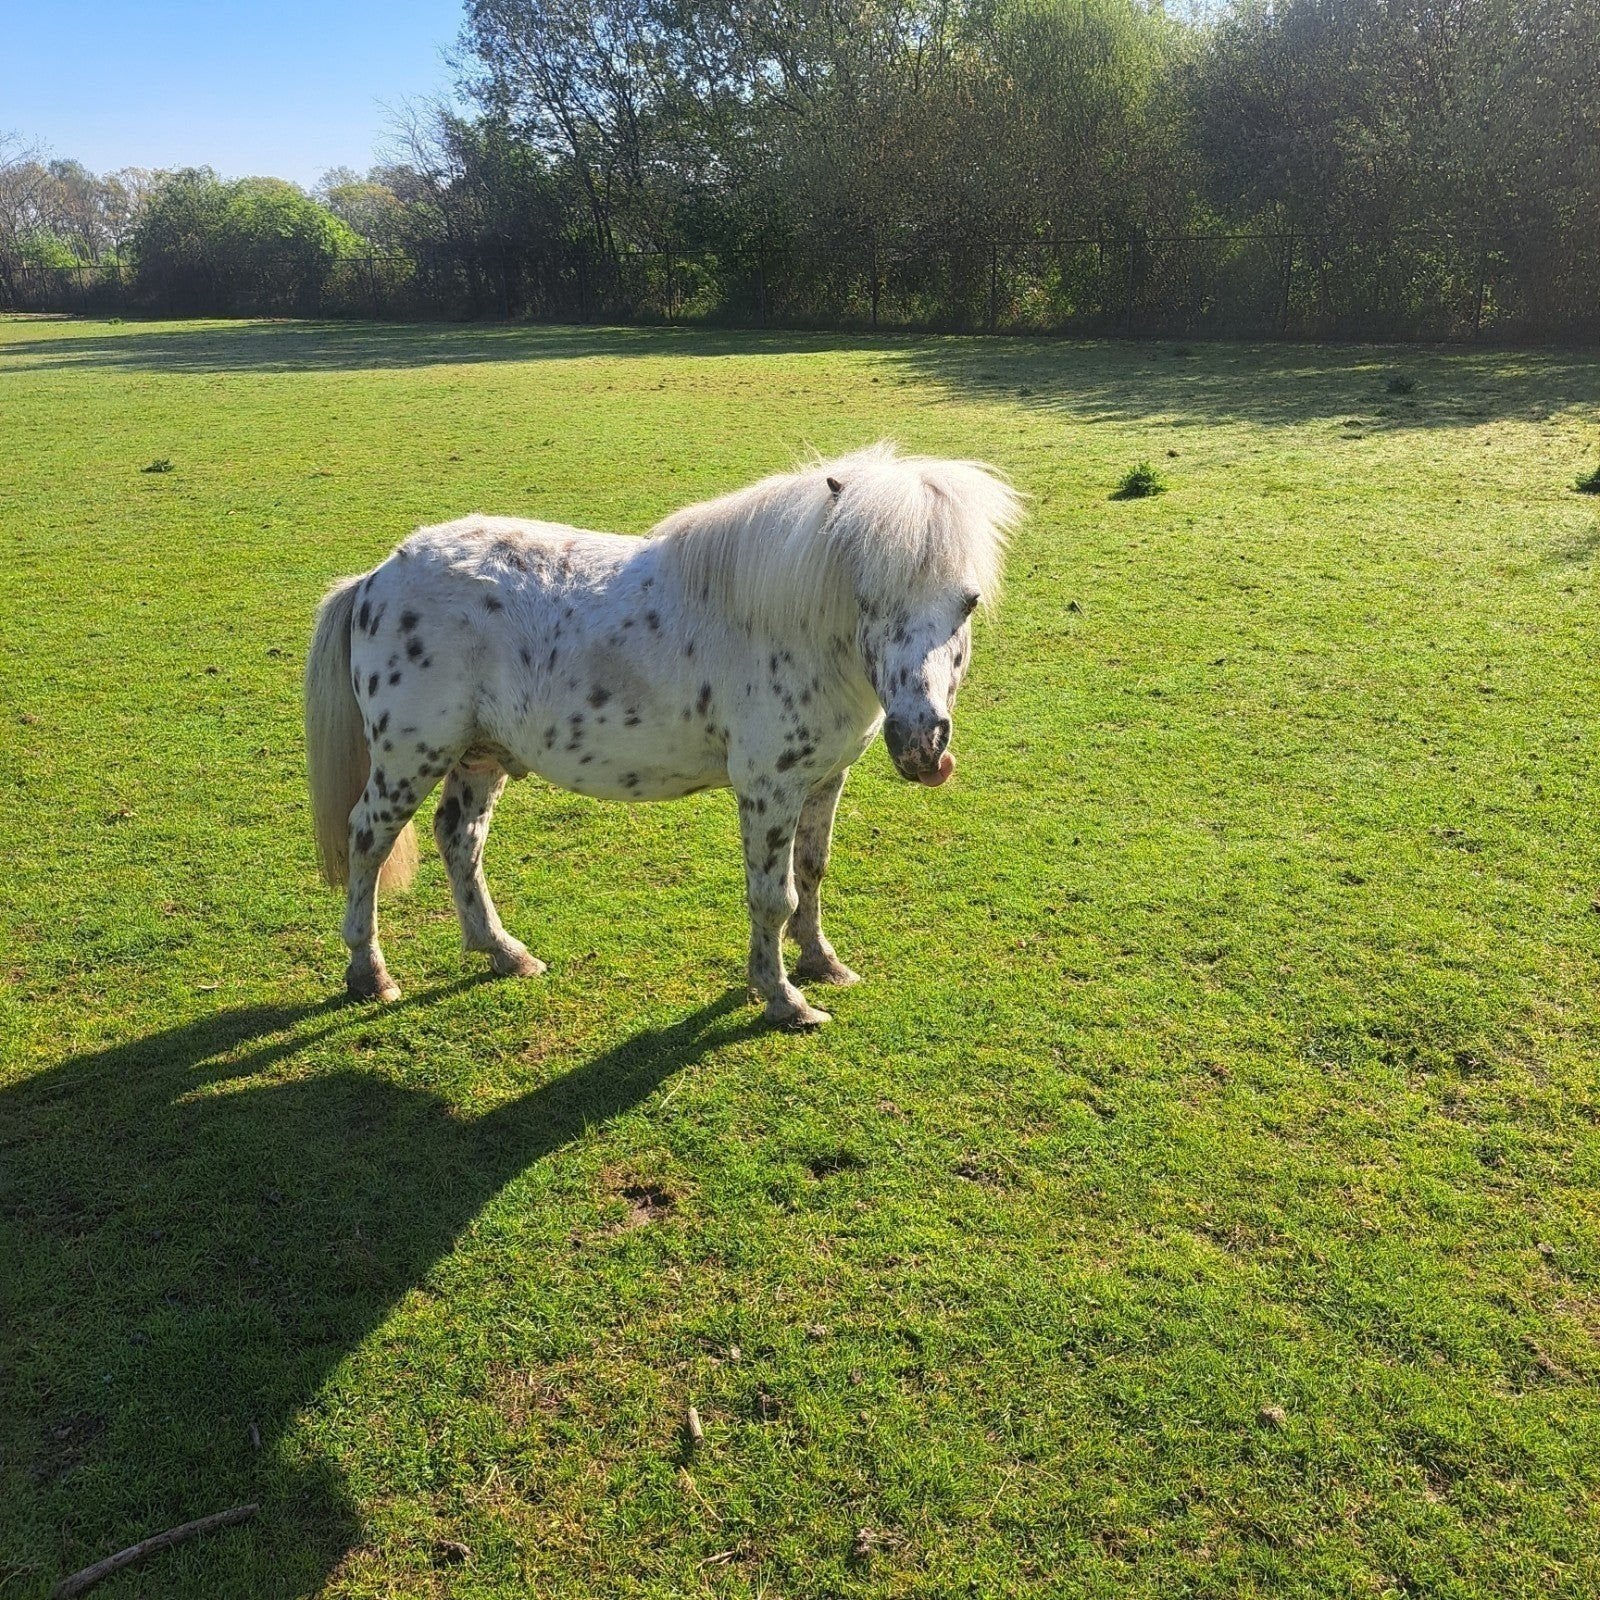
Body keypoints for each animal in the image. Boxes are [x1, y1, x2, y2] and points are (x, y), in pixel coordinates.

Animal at [304, 442, 1022, 1028]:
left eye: (968, 603)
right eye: (868, 599)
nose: (923, 743)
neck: (790, 627)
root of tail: (377, 579)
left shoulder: (824, 779)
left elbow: (812, 872)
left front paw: (822, 963)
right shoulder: (769, 789)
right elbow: (773, 896)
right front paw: (783, 998)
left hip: (480, 757)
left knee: (460, 839)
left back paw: (504, 953)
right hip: (409, 757)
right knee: (368, 840)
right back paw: (370, 973)